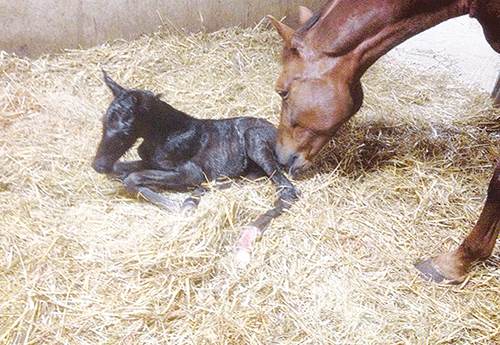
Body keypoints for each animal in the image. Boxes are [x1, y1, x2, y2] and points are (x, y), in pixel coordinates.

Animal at [92, 70, 298, 264]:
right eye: (103, 122)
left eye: (126, 130)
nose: (98, 165)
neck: (166, 134)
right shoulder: (150, 162)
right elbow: (120, 169)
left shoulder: (191, 173)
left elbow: (132, 178)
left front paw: (177, 207)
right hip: (249, 169)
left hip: (254, 139)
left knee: (288, 190)